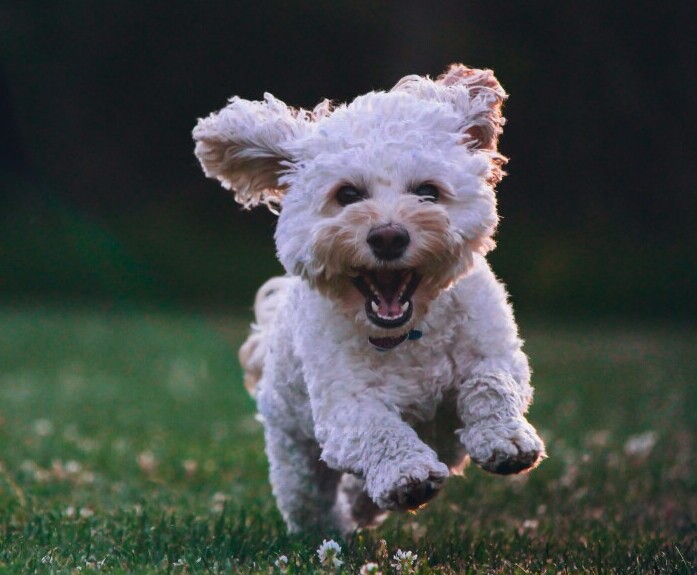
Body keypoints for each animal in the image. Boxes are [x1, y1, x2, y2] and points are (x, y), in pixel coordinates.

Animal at [193, 64, 548, 536]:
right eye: (347, 194)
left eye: (428, 192)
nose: (388, 236)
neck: (409, 334)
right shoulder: (344, 405)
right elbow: (378, 428)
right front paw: (406, 475)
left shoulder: (495, 351)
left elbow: (491, 383)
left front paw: (506, 439)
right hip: (294, 452)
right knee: (310, 498)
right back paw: (333, 528)